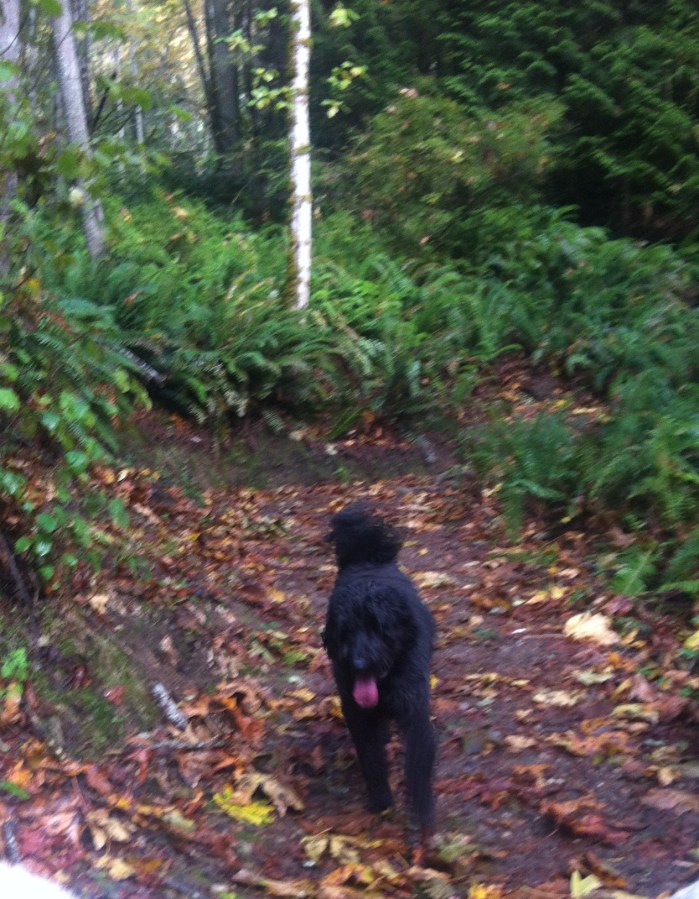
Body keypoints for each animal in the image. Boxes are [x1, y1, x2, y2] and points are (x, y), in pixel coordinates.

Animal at [323, 505, 436, 832]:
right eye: (346, 631)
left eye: (378, 628)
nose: (360, 664)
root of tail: (366, 556)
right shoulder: (357, 715)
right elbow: (371, 759)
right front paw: (381, 800)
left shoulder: (415, 712)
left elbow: (419, 764)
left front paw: (421, 813)